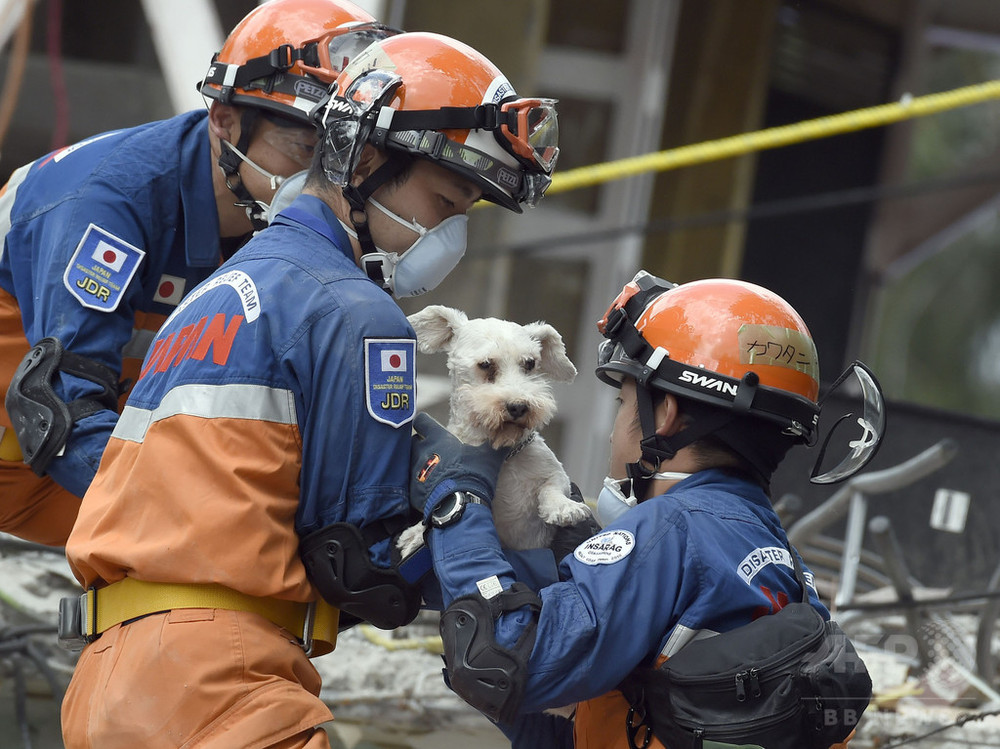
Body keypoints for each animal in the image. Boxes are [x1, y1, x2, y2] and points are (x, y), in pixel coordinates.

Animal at [394, 304, 588, 556]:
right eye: (486, 364)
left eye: (530, 363)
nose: (519, 406)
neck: (503, 454)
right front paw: (416, 533)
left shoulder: (555, 473)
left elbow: (552, 487)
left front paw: (564, 507)